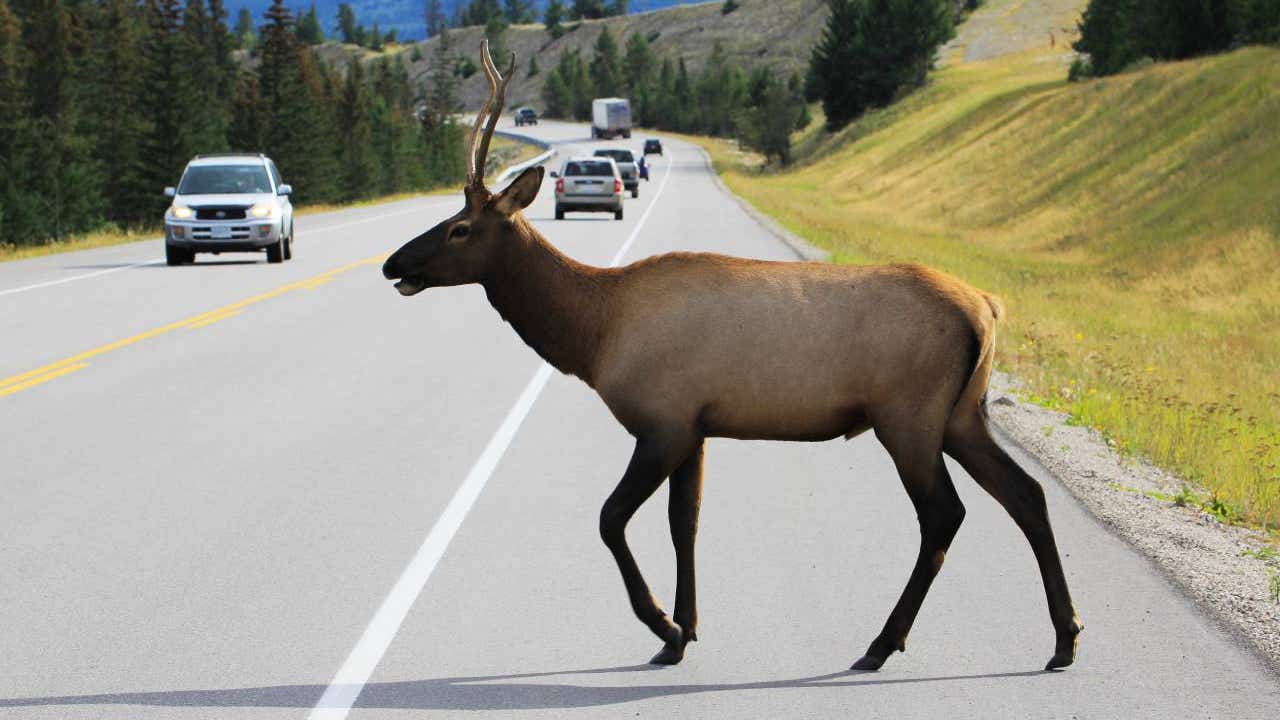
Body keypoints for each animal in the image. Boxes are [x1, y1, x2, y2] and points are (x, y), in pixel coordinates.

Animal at [381, 43, 1080, 671]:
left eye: (460, 228)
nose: (394, 264)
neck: (594, 333)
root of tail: (987, 308)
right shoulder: (697, 427)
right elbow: (683, 523)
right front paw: (683, 632)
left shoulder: (663, 420)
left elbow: (611, 518)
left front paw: (662, 624)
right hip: (963, 414)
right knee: (1026, 495)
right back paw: (1064, 639)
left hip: (908, 415)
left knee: (944, 514)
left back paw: (882, 644)